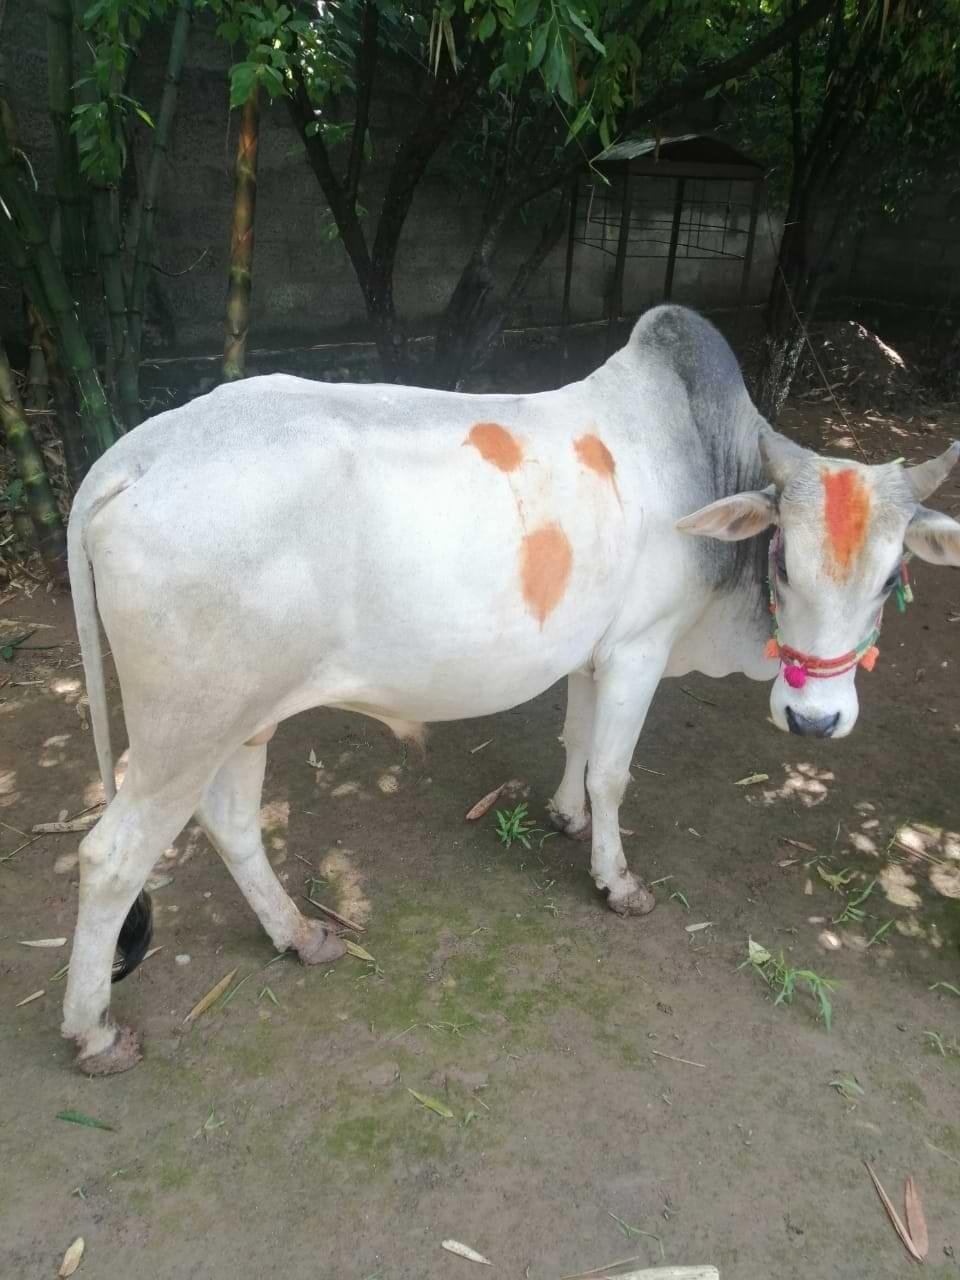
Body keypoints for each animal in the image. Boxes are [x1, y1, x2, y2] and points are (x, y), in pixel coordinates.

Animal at [62, 305, 960, 1074]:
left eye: (890, 580)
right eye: (785, 561)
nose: (815, 720)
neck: (706, 459)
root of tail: (136, 453)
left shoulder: (593, 655)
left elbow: (577, 741)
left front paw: (565, 816)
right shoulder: (638, 650)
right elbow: (614, 772)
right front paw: (616, 881)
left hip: (246, 716)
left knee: (232, 822)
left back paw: (299, 935)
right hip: (186, 725)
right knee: (111, 857)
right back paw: (94, 1031)